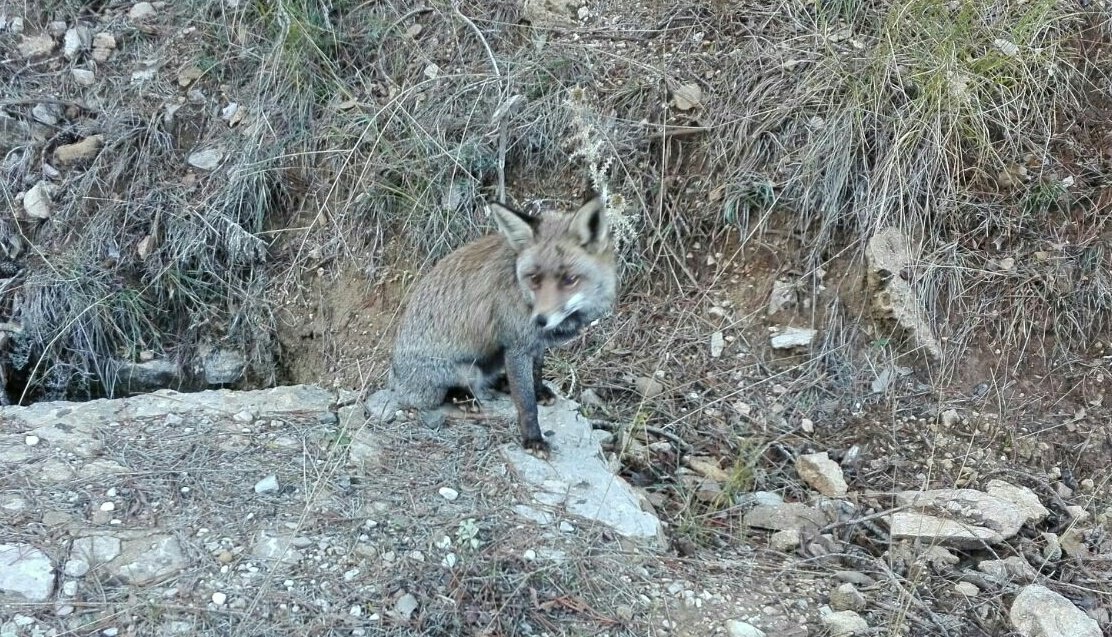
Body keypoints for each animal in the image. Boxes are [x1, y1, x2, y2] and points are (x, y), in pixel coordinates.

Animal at [387, 194, 617, 457]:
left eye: (570, 279)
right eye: (534, 278)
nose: (540, 319)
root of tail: (394, 375)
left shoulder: (534, 344)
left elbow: (536, 373)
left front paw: (538, 391)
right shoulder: (517, 347)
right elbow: (526, 404)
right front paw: (533, 439)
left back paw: (501, 383)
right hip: (464, 372)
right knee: (441, 393)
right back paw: (463, 398)